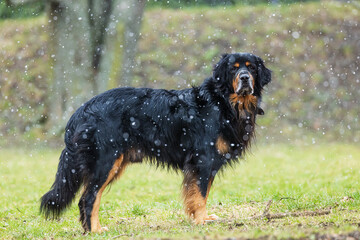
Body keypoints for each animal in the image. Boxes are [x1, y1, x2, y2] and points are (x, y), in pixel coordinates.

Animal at [40, 52, 270, 232]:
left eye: (251, 68)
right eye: (233, 68)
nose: (244, 78)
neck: (222, 102)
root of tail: (80, 111)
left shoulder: (207, 163)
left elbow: (199, 193)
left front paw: (200, 218)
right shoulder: (203, 159)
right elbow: (200, 193)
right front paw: (201, 221)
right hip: (105, 161)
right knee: (88, 198)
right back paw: (94, 230)